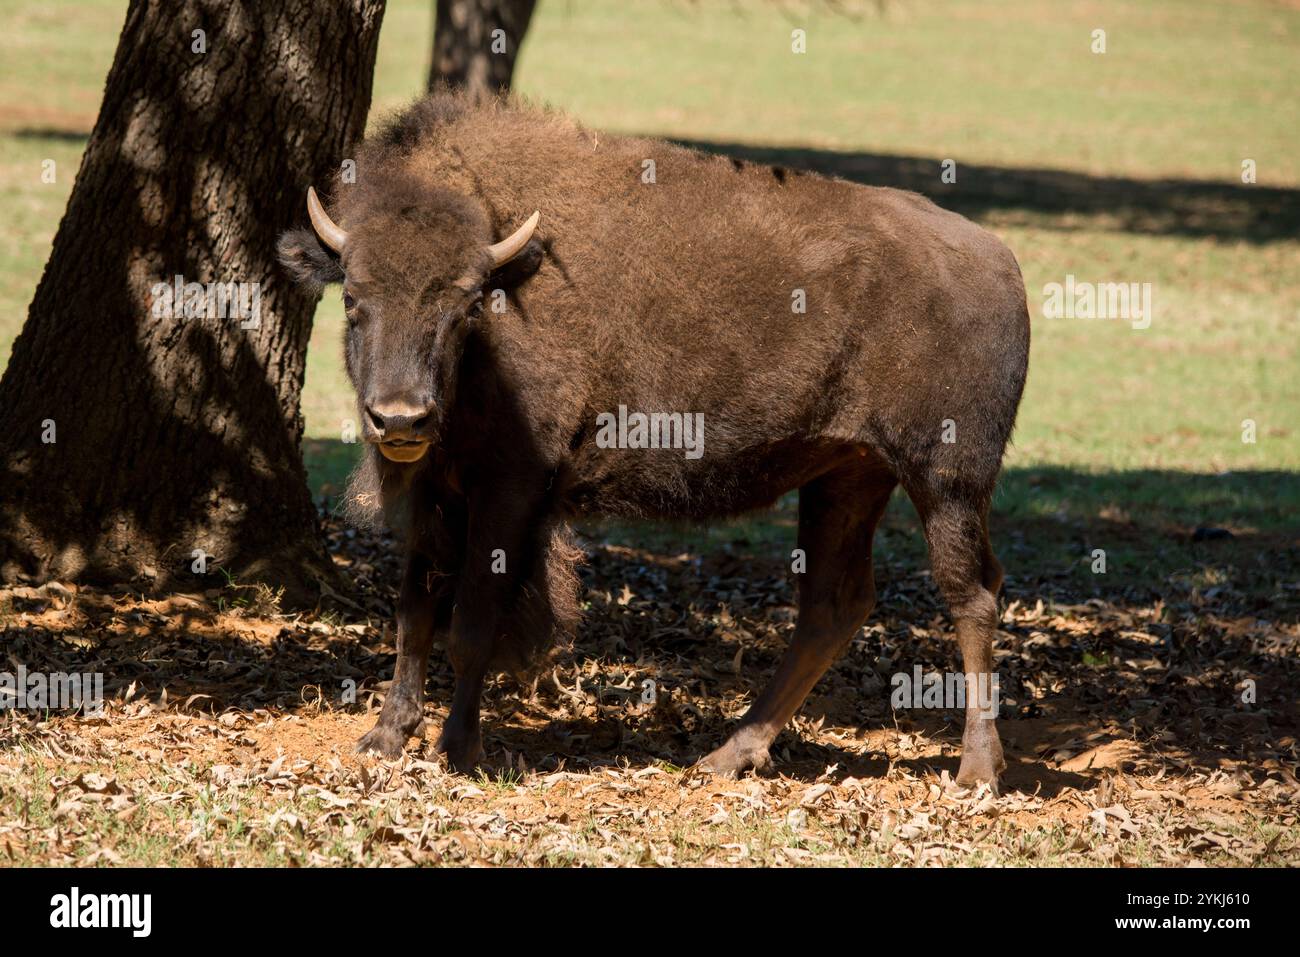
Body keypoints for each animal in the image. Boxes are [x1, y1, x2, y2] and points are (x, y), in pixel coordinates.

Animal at [279, 93, 1029, 790]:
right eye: (353, 299)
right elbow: (414, 612)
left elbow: (472, 623)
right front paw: (385, 736)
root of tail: (1000, 260)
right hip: (848, 475)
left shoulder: (510, 489)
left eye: (465, 307)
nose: (400, 418)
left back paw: (976, 771)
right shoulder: (439, 492)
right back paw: (728, 754)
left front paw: (458, 748)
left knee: (971, 595)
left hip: (946, 480)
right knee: (833, 604)